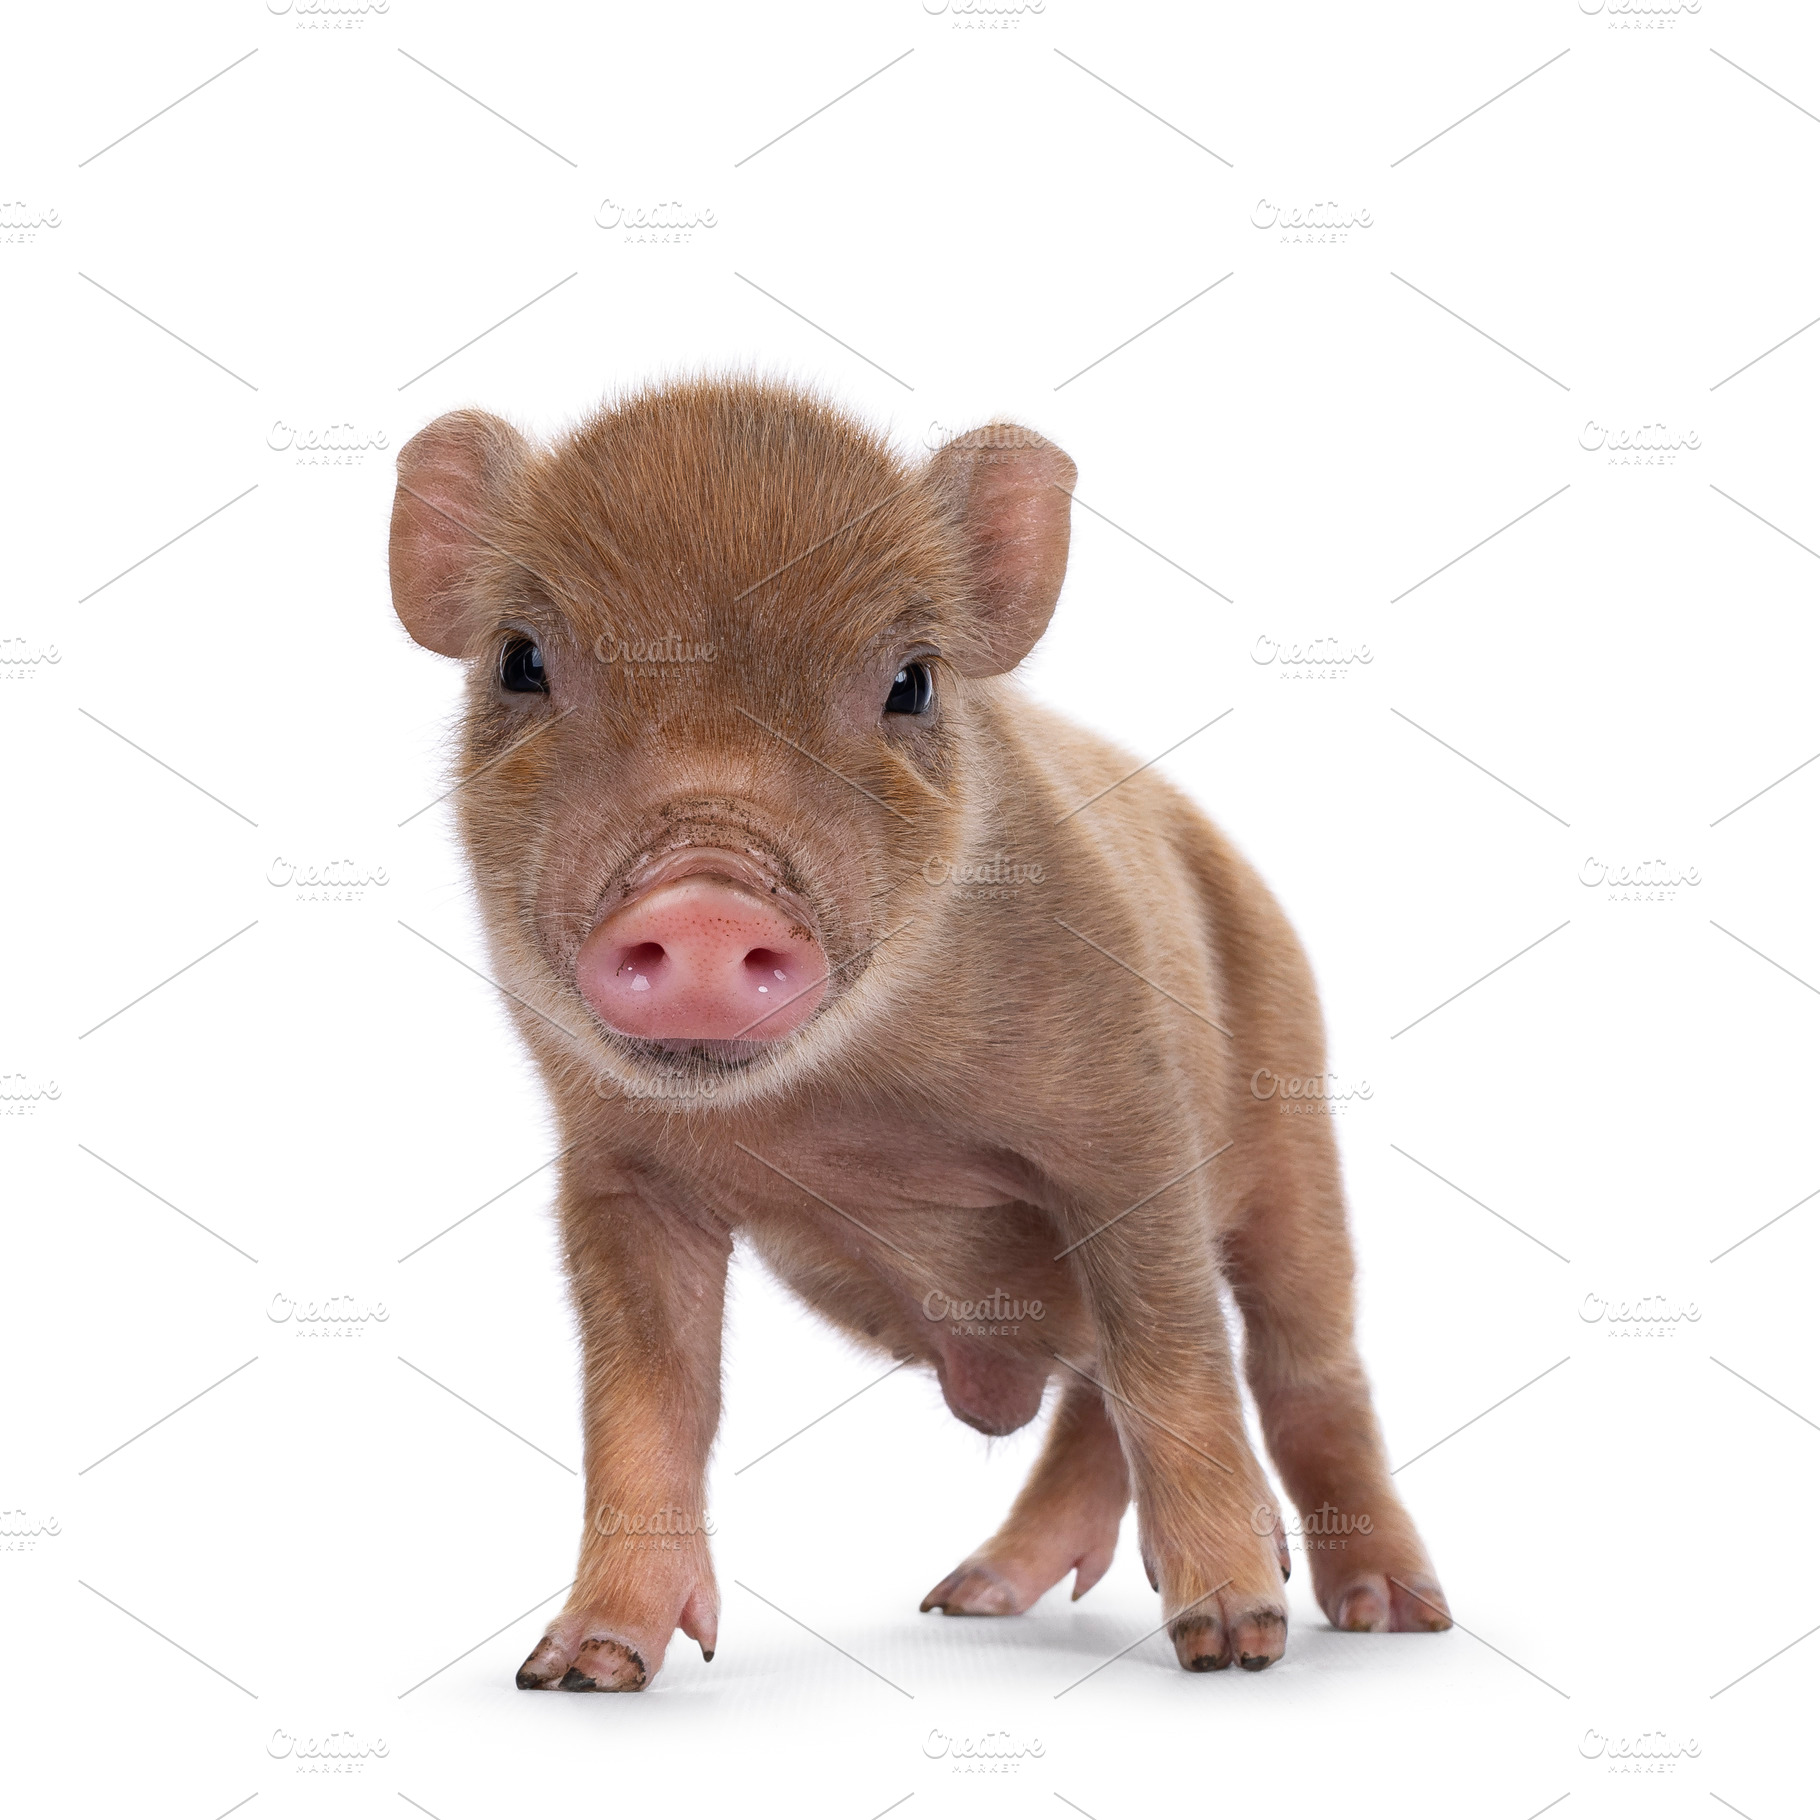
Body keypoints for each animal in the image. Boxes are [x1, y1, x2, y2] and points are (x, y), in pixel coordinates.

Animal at [386, 377, 1450, 1691]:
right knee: (1091, 1399)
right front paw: (577, 1670)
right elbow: (644, 1410)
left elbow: (1175, 1355)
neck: (845, 1114)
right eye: (520, 660)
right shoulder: (616, 1178)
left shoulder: (1132, 1129)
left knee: (1303, 1365)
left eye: (911, 680)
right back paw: (970, 1597)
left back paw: (1385, 1614)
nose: (703, 901)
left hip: (1293, 1127)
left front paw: (1235, 1641)